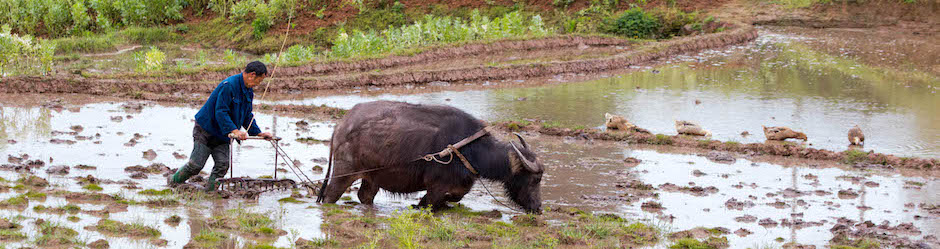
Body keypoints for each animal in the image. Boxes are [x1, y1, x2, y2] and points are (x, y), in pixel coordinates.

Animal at [318, 100, 544, 213]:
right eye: (535, 179)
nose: (539, 208)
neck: (470, 149)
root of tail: (341, 126)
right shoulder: (437, 184)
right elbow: (431, 202)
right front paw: (419, 205)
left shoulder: (459, 184)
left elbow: (456, 196)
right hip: (344, 172)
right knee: (330, 195)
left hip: (372, 177)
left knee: (365, 196)